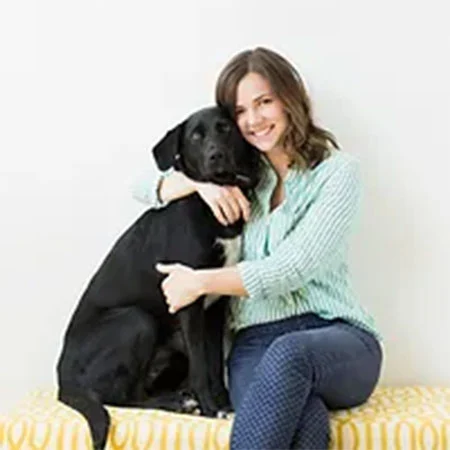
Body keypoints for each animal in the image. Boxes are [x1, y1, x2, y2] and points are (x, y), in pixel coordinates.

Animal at [57, 106, 260, 450]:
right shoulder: (186, 298)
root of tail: (62, 379)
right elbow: (202, 368)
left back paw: (179, 399)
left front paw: (223, 405)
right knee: (121, 397)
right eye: (195, 136)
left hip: (170, 348)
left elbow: (214, 363)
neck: (208, 203)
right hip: (136, 320)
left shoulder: (215, 305)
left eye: (226, 128)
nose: (216, 156)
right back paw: (179, 402)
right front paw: (210, 409)